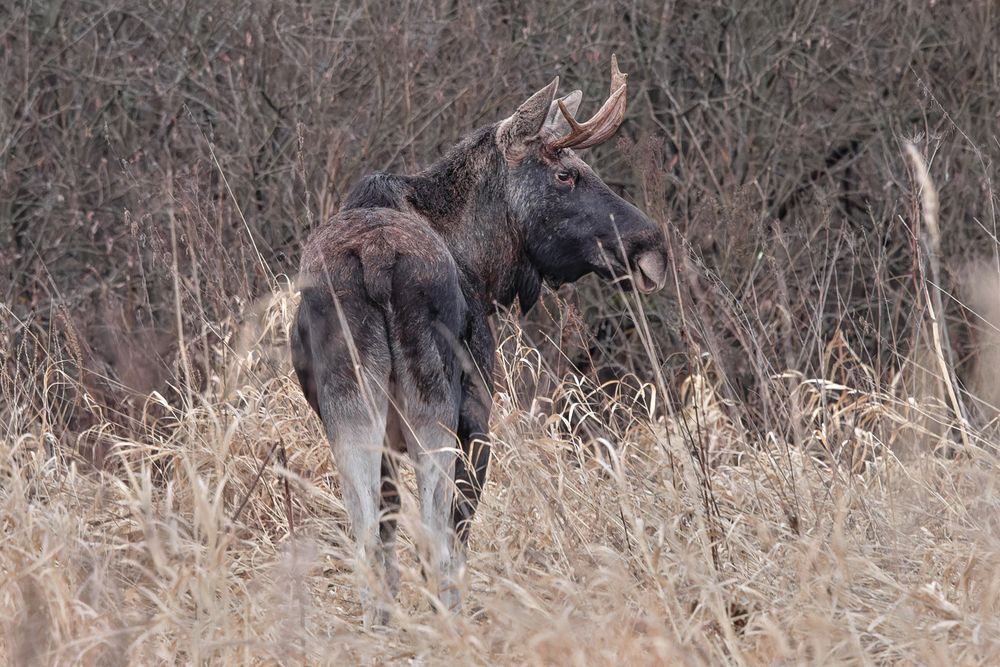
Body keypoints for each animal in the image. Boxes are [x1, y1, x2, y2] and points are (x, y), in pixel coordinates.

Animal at [291, 56, 668, 627]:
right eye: (565, 173)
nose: (651, 245)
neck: (485, 265)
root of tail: (376, 260)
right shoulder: (478, 413)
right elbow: (458, 529)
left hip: (351, 407)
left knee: (368, 534)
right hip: (438, 406)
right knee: (439, 536)